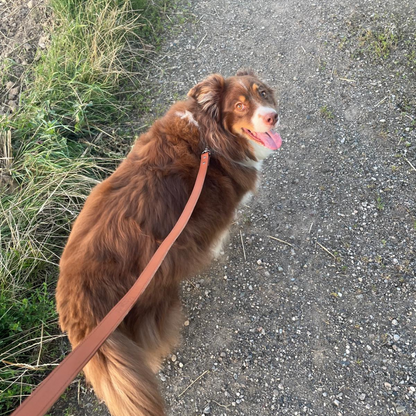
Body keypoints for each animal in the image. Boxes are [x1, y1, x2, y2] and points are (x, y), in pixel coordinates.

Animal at [56, 70, 282, 414]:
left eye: (263, 93)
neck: (209, 137)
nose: (272, 117)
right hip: (153, 296)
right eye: (240, 105)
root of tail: (75, 299)